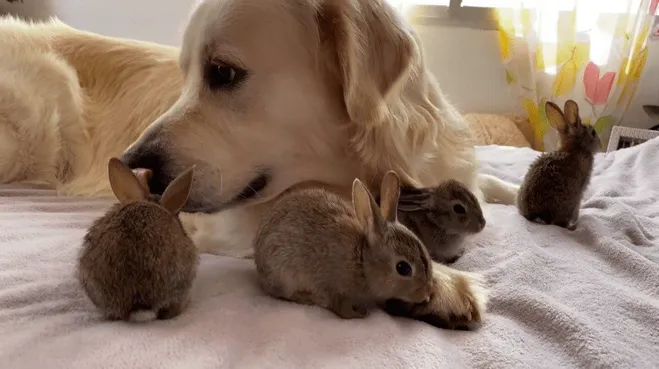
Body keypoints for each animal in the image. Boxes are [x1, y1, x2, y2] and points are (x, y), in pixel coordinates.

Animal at [255, 171, 436, 318]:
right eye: (403, 268)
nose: (426, 295)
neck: (362, 261)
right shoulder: (332, 286)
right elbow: (340, 307)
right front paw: (359, 313)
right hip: (284, 272)